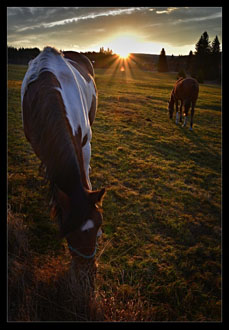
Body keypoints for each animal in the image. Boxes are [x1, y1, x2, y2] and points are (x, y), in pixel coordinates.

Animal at [21, 47, 105, 262]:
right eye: (68, 232)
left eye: (99, 224)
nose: (86, 266)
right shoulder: (42, 147)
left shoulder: (85, 143)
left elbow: (85, 173)